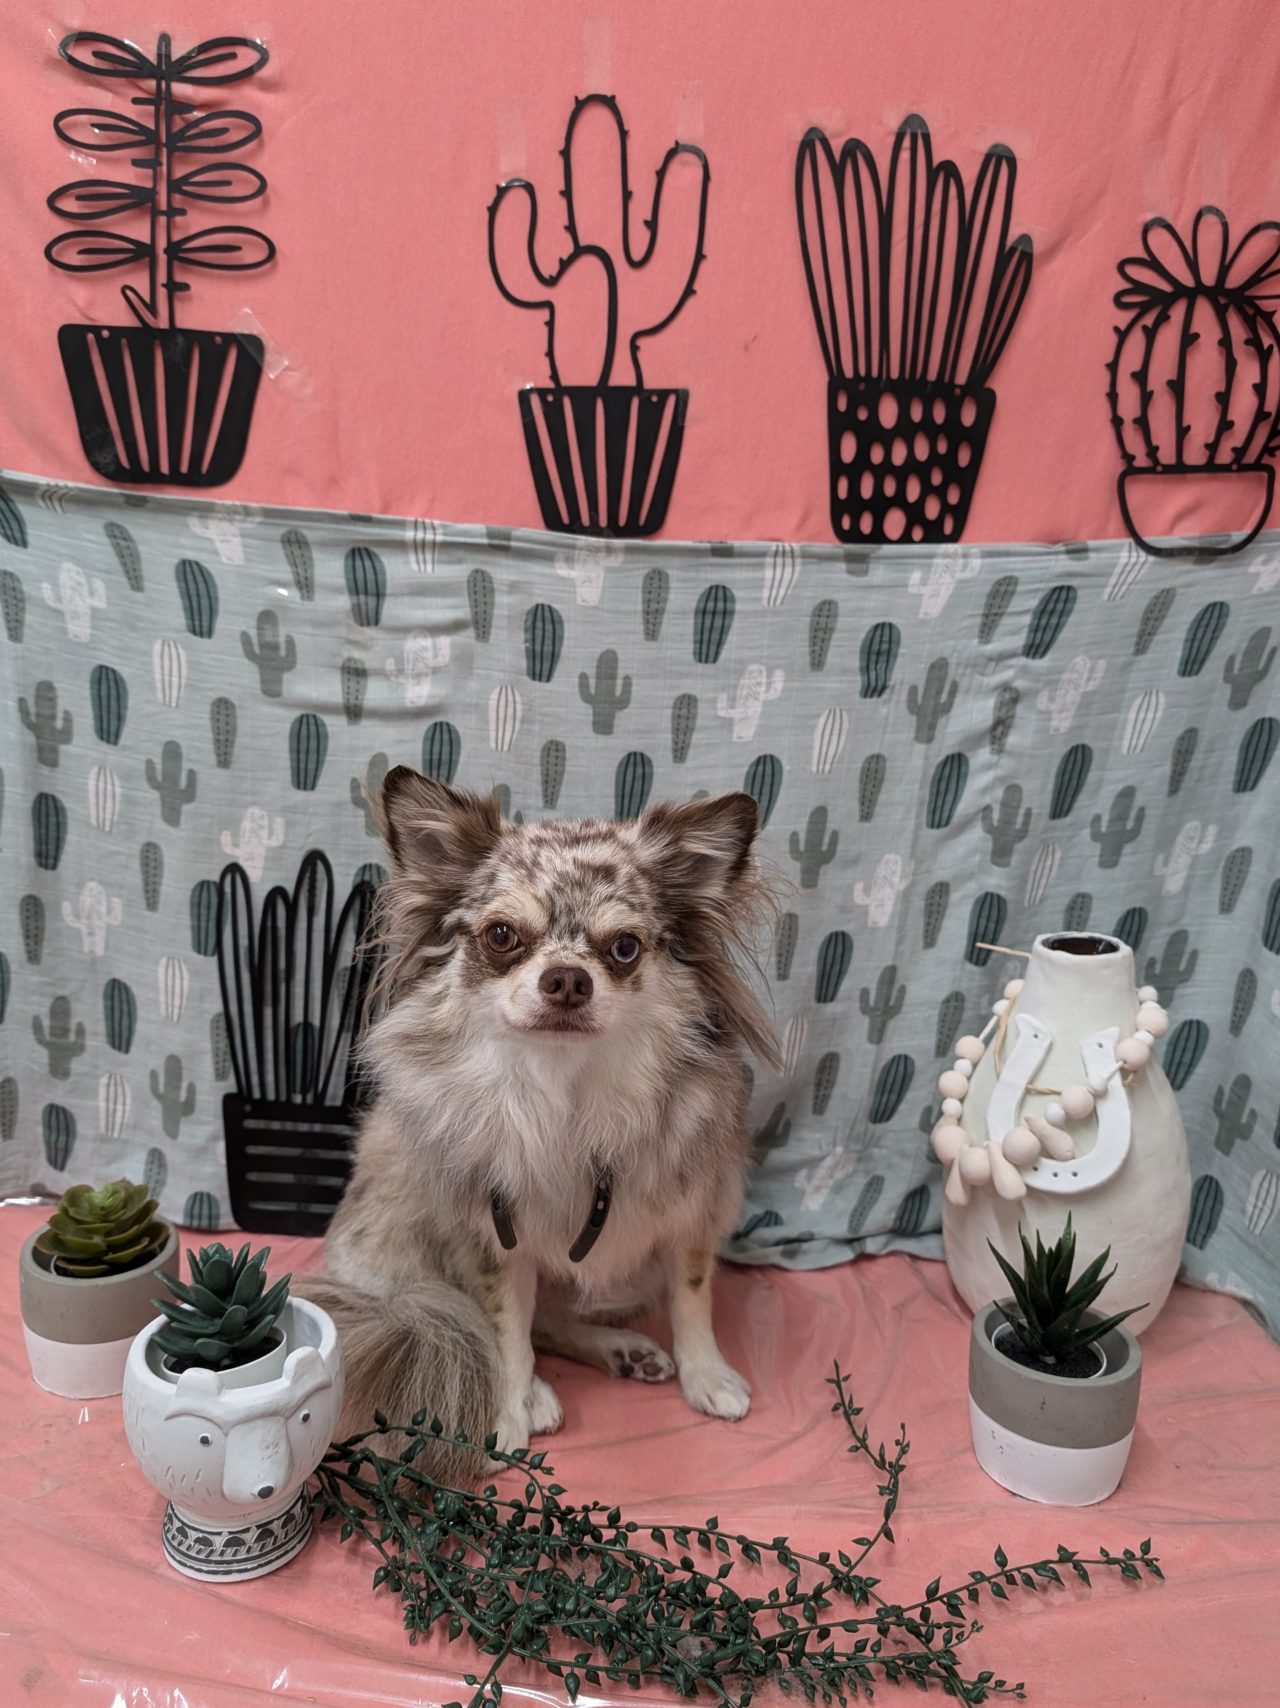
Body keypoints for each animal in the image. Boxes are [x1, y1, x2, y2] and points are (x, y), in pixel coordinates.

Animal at [299, 768, 779, 1474]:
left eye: (625, 947)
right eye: (502, 936)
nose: (568, 978)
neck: (566, 1090)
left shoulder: (694, 1212)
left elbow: (694, 1299)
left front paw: (707, 1375)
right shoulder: (494, 1242)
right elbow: (504, 1333)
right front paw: (507, 1413)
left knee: (555, 1317)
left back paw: (622, 1350)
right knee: (477, 1324)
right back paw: (542, 1392)